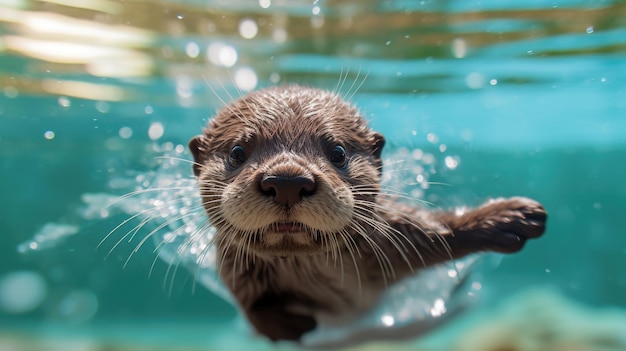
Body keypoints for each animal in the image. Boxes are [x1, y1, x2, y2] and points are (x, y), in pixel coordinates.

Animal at [188, 84, 544, 340]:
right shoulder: (231, 263)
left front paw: (510, 216)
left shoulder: (393, 232)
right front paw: (289, 327)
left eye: (337, 152)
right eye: (237, 152)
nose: (287, 181)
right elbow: (248, 303)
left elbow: (439, 232)